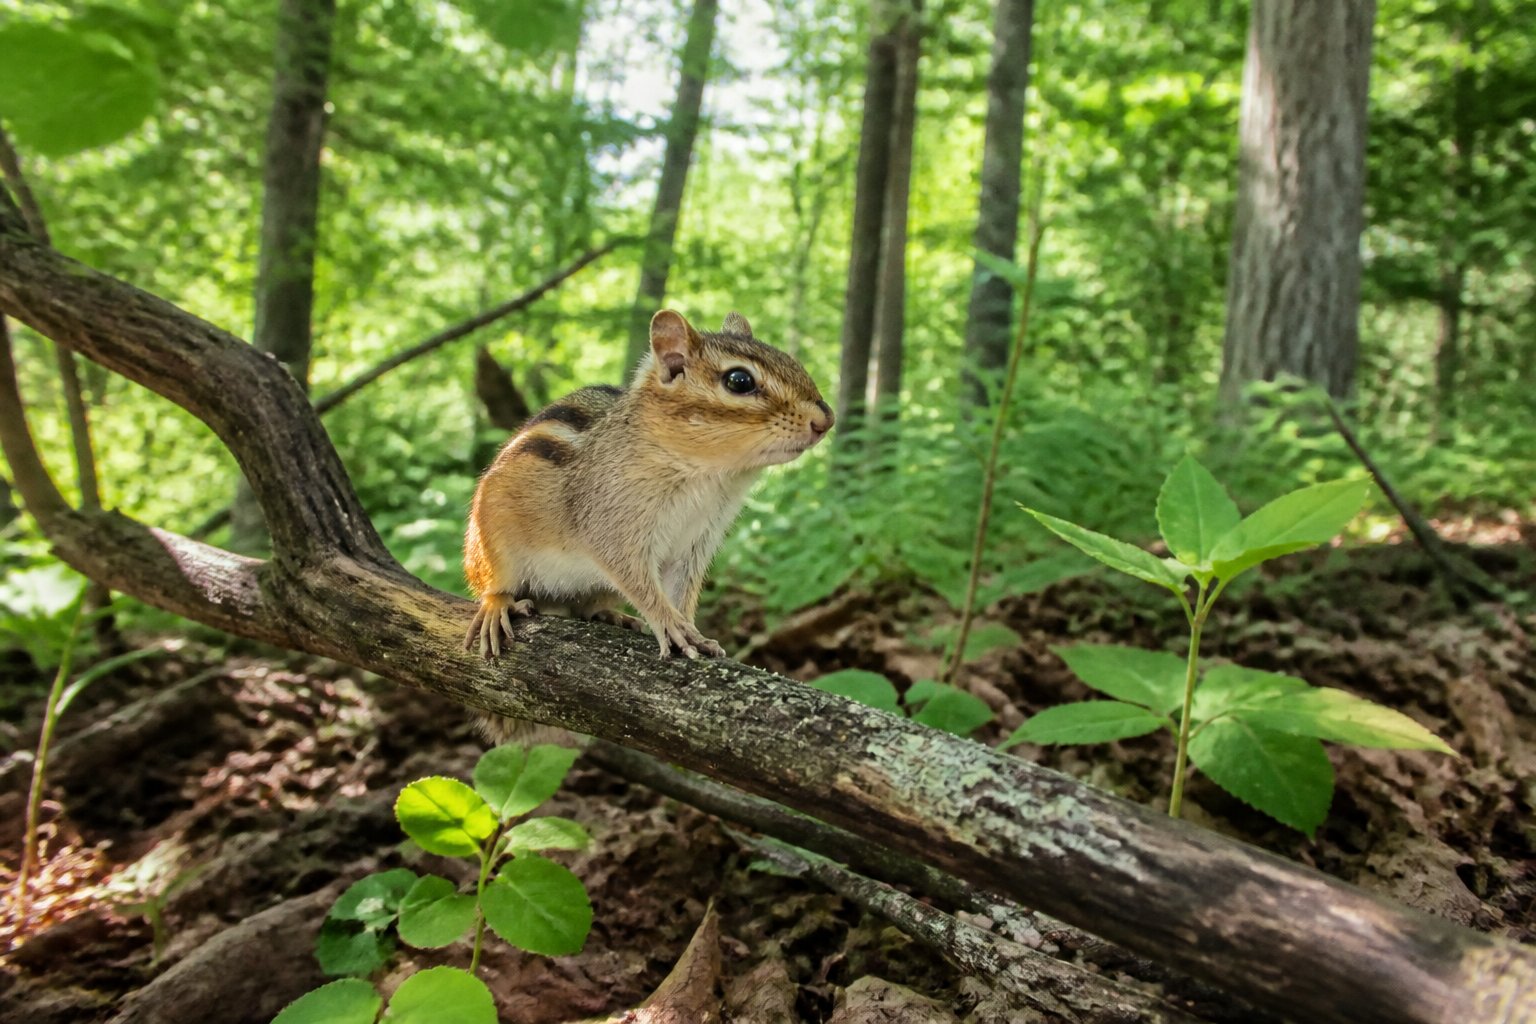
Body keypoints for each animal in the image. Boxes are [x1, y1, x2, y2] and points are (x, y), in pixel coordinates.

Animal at [463, 308, 834, 708]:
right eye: (739, 381)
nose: (825, 420)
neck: (709, 477)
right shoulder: (611, 523)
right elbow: (639, 582)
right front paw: (671, 625)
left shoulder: (696, 541)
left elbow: (682, 590)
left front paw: (692, 629)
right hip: (494, 548)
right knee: (493, 585)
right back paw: (497, 605)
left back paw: (611, 615)